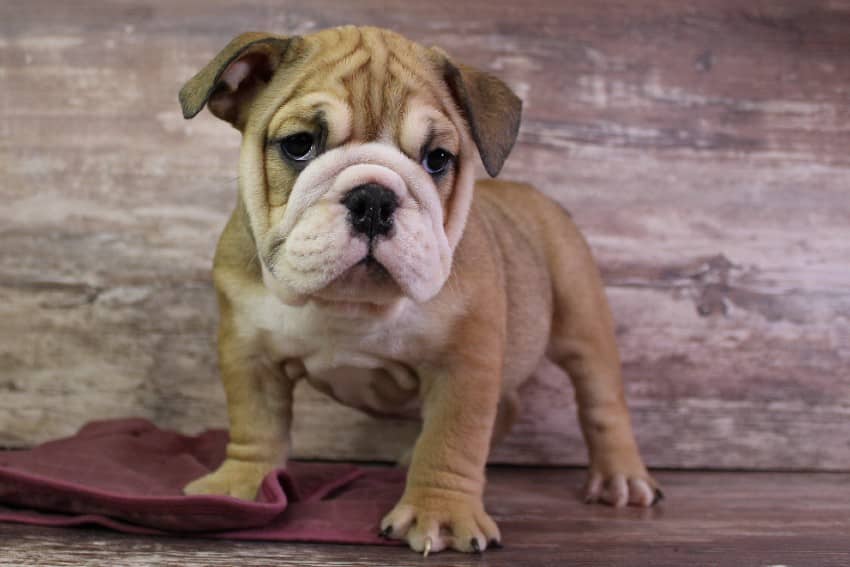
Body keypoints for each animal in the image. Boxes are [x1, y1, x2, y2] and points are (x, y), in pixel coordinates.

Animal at [177, 25, 656, 556]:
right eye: (299, 145)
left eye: (437, 159)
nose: (373, 198)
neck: (350, 304)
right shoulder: (250, 352)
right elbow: (255, 423)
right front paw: (241, 484)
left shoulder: (464, 364)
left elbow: (452, 439)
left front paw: (440, 513)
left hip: (582, 322)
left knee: (602, 402)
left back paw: (620, 478)